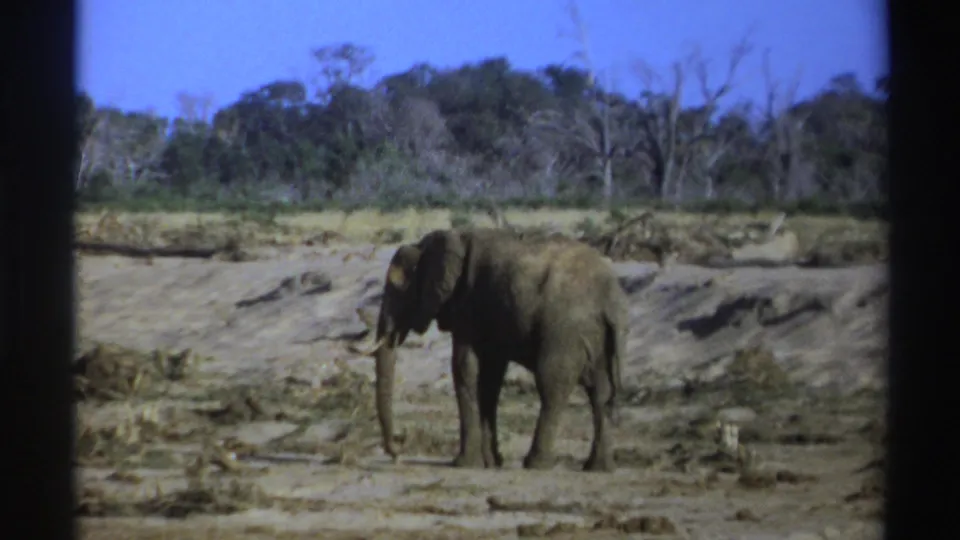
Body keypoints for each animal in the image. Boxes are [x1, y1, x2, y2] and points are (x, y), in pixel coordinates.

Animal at [355, 227, 628, 472]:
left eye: (399, 287)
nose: (398, 452)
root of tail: (609, 298)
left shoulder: (469, 304)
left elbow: (465, 368)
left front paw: (464, 464)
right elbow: (489, 377)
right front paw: (491, 462)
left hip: (564, 330)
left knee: (552, 386)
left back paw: (536, 464)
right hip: (597, 335)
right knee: (601, 392)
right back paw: (599, 468)